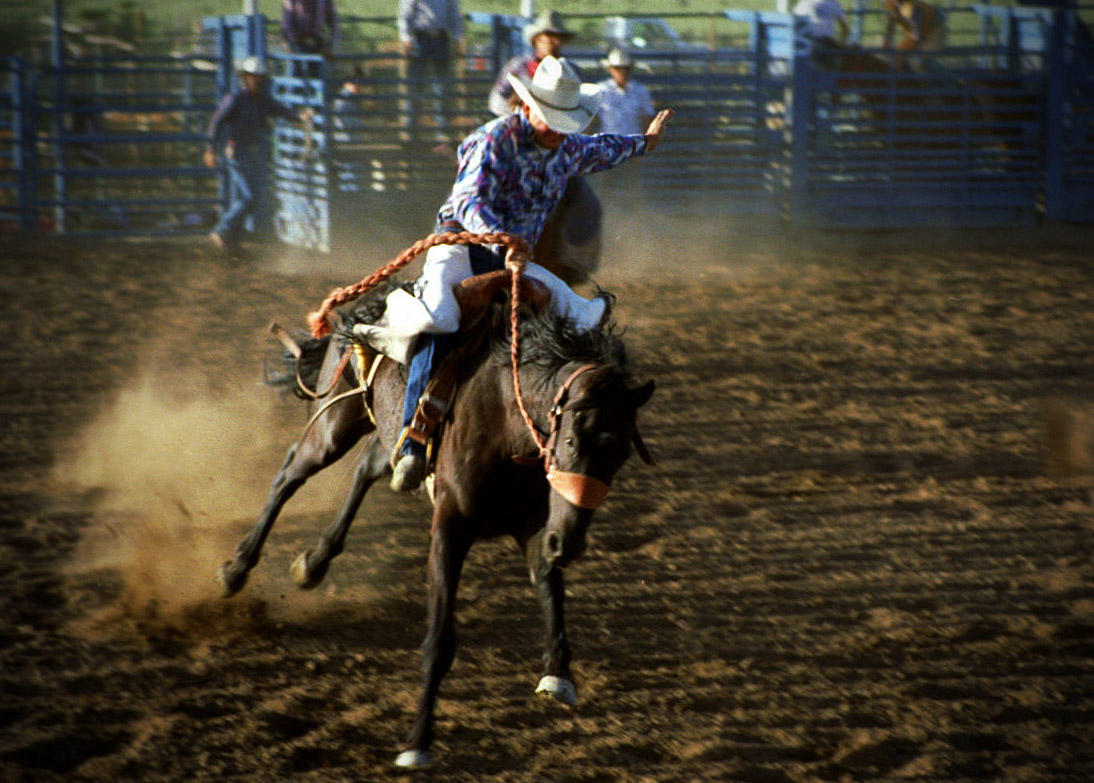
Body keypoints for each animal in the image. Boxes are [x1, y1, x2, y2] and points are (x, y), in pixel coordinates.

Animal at [217, 237, 652, 765]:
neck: (506, 420)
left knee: (368, 468)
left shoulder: (535, 523)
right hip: (336, 420)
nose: (568, 544)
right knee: (289, 473)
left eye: (622, 452)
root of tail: (364, 305)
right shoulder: (451, 526)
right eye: (570, 441)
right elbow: (440, 640)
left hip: (385, 430)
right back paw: (237, 569)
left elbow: (551, 592)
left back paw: (314, 563)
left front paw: (558, 676)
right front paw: (417, 741)